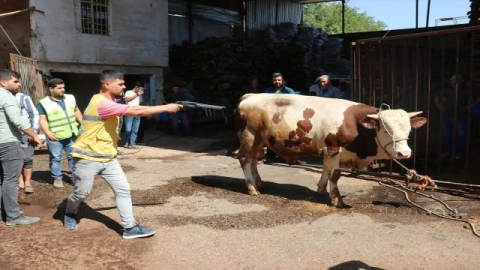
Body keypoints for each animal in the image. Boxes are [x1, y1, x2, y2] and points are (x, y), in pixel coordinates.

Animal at [234, 94, 426, 208]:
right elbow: (335, 174)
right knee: (245, 160)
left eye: (409, 130)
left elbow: (326, 170)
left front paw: (321, 189)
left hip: (259, 141)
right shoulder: (333, 148)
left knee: (253, 160)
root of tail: (251, 96)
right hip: (249, 136)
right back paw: (251, 187)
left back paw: (259, 182)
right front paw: (336, 199)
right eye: (386, 130)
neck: (355, 123)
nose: (404, 154)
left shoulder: (329, 151)